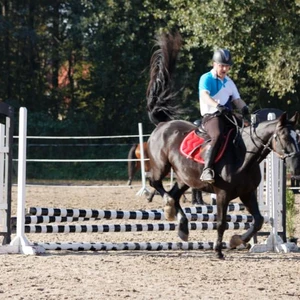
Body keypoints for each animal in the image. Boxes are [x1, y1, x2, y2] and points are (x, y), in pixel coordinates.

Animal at [145, 31, 300, 258]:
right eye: (285, 137)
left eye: (296, 136)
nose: (296, 166)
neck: (244, 156)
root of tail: (163, 124)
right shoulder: (222, 194)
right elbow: (221, 223)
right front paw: (218, 250)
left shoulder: (247, 193)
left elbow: (259, 220)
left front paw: (236, 240)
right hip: (162, 166)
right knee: (155, 183)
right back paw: (168, 208)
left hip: (185, 177)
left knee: (174, 194)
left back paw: (182, 226)